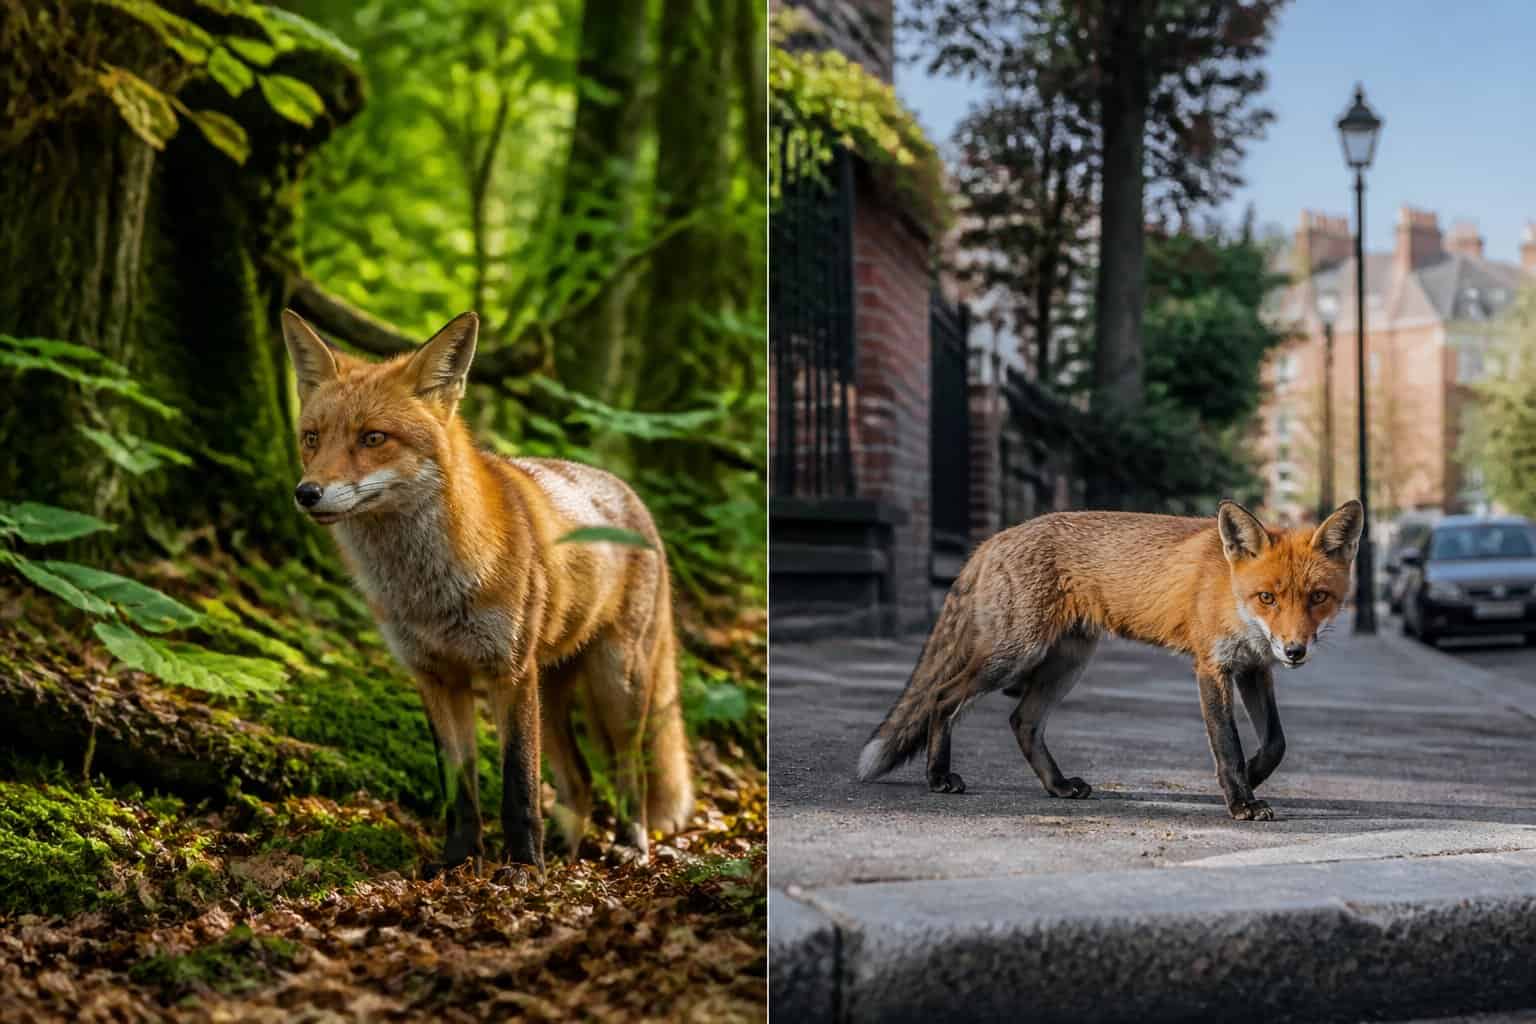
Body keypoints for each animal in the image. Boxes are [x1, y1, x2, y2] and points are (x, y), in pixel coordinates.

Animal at [280, 309, 692, 871]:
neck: (427, 588)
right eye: (312, 438)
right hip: (552, 691)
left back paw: (630, 842)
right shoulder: (435, 676)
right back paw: (565, 849)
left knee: (629, 770)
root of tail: (631, 496)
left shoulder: (507, 671)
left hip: (616, 683)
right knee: (580, 779)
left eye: (373, 438)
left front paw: (523, 869)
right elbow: (459, 786)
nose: (307, 493)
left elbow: (518, 785)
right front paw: (459, 861)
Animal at [858, 499, 1365, 822]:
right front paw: (1241, 799)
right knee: (944, 697)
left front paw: (1253, 777)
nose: (1295, 651)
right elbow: (1228, 745)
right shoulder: (1213, 667)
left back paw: (1058, 785)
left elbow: (1276, 743)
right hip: (1015, 654)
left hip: (1067, 664)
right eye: (1267, 598)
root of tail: (996, 537)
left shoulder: (1254, 668)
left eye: (1318, 597)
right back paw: (938, 775)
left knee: (1023, 721)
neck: (1229, 592)